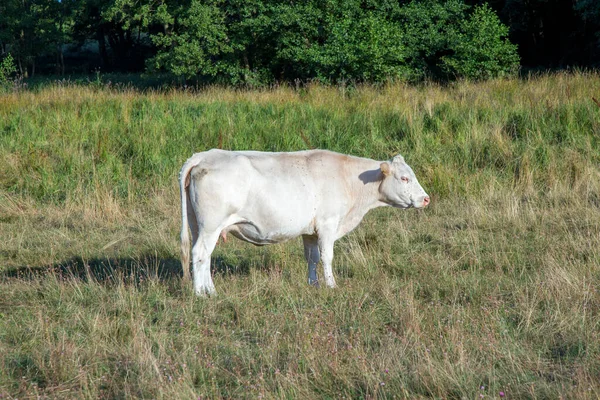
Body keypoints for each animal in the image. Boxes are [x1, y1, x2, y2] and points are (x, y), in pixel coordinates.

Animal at [178, 148, 426, 296]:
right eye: (404, 178)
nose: (426, 198)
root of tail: (205, 155)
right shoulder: (327, 225)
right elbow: (327, 257)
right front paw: (331, 285)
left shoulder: (311, 231)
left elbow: (312, 258)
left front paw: (313, 284)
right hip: (210, 226)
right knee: (200, 253)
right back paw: (201, 294)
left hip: (197, 224)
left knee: (204, 257)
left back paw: (210, 289)